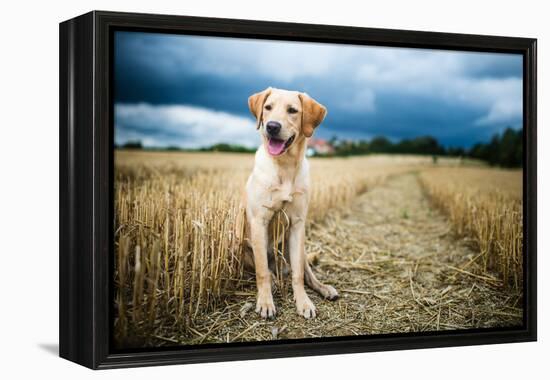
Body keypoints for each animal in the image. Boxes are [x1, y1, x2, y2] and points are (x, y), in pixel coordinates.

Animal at [238, 87, 340, 320]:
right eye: (268, 107)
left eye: (292, 110)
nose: (272, 126)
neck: (284, 165)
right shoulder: (259, 222)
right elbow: (262, 272)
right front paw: (265, 302)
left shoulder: (297, 224)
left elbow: (298, 275)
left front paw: (303, 302)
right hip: (245, 248)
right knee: (268, 271)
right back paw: (275, 283)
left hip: (299, 248)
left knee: (305, 272)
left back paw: (324, 288)